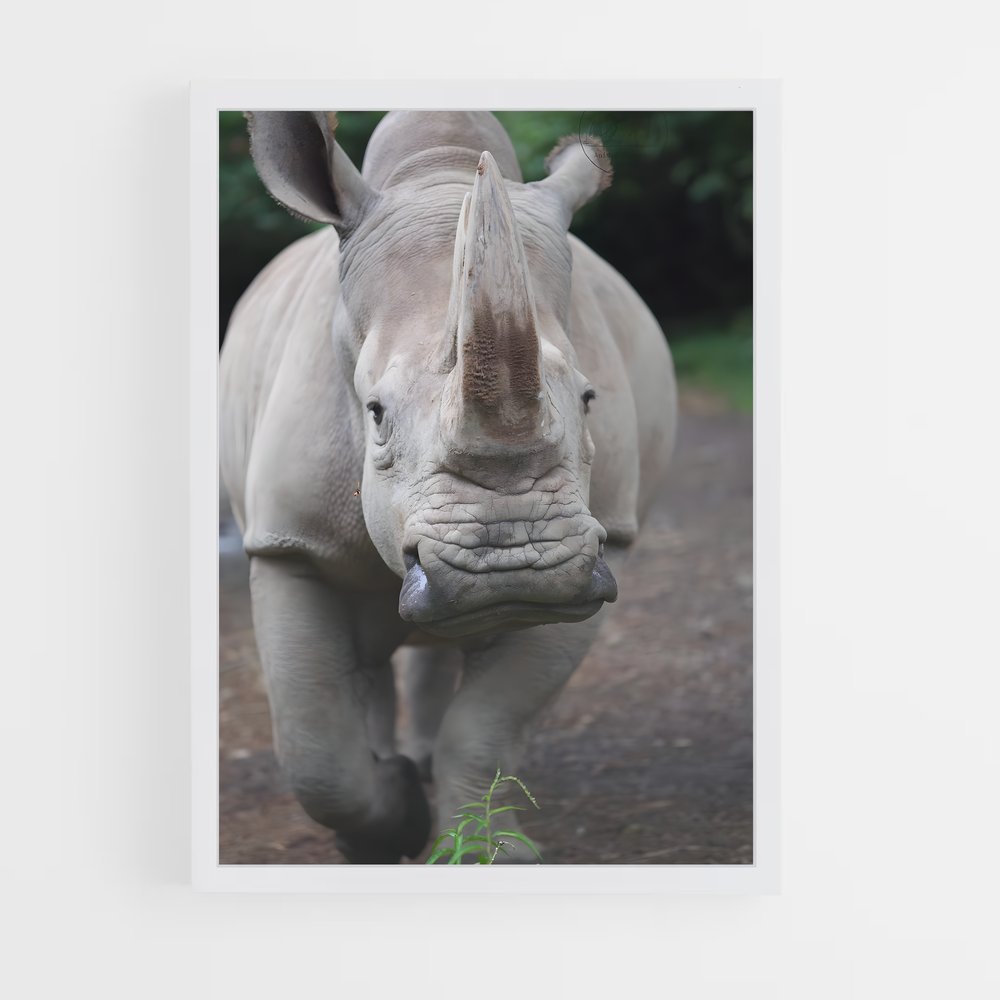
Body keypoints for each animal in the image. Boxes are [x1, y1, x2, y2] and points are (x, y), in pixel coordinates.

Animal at [220, 110, 677, 863]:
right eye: (374, 413)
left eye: (589, 400)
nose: (512, 568)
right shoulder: (288, 540)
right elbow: (315, 749)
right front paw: (389, 825)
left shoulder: (606, 544)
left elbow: (488, 725)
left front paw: (493, 851)